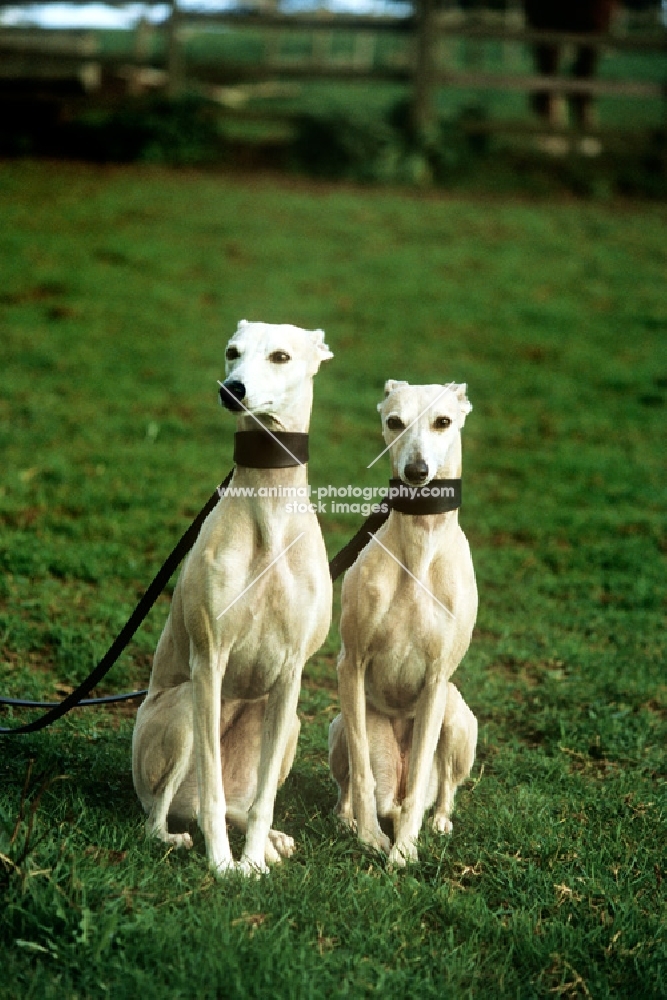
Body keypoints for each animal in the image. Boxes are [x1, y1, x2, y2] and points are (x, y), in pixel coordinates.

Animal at [132, 322, 334, 876]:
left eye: (281, 356)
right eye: (232, 352)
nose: (231, 390)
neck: (268, 503)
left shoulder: (290, 676)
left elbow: (262, 801)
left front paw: (253, 861)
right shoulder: (210, 662)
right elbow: (214, 794)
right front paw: (224, 865)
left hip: (286, 723)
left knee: (244, 802)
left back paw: (271, 842)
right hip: (181, 712)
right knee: (166, 813)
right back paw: (176, 835)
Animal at [330, 378, 478, 864]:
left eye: (443, 421)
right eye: (394, 421)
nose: (416, 471)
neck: (419, 547)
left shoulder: (435, 680)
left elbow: (419, 781)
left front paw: (405, 849)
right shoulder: (351, 664)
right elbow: (360, 770)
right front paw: (371, 837)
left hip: (458, 717)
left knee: (443, 785)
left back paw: (439, 820)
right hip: (340, 724)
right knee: (351, 777)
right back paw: (351, 817)